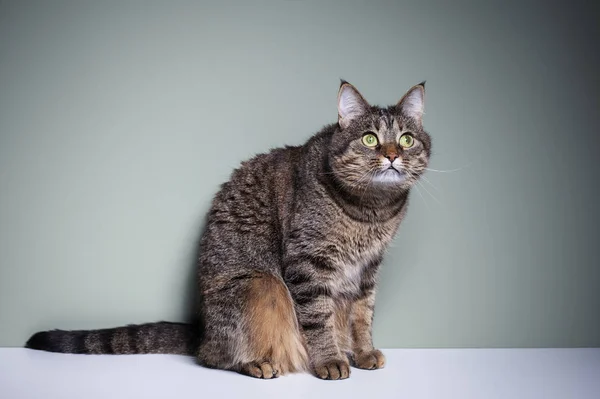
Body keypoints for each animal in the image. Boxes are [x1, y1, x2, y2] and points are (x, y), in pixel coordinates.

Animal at [25, 80, 432, 382]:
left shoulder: (368, 269)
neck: (372, 210)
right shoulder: (307, 264)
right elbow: (319, 319)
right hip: (260, 284)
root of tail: (202, 328)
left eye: (407, 139)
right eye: (369, 139)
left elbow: (362, 315)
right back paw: (257, 362)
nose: (393, 155)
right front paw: (330, 360)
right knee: (213, 355)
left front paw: (362, 352)